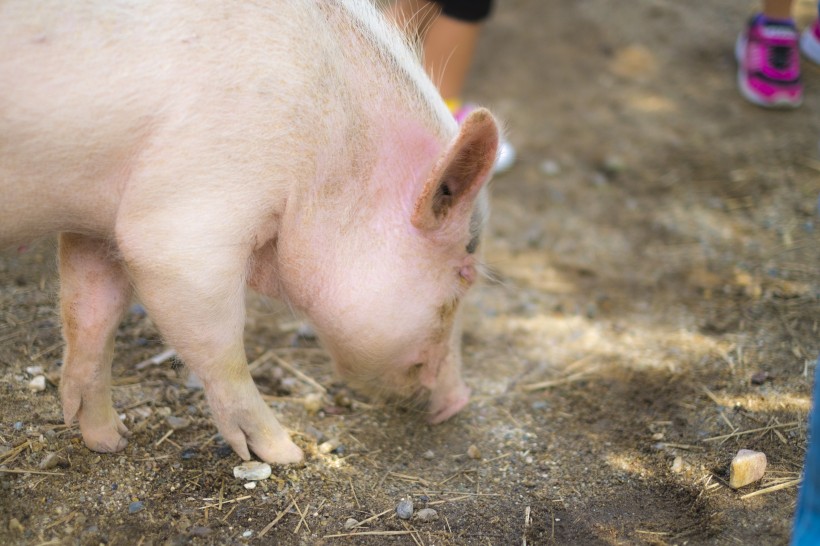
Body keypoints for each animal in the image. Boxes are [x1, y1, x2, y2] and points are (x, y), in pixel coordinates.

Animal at [0, 0, 500, 464]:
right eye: (464, 274)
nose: (461, 400)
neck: (326, 155)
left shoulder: (97, 224)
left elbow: (91, 315)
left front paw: (109, 441)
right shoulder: (181, 221)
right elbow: (223, 350)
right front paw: (286, 454)